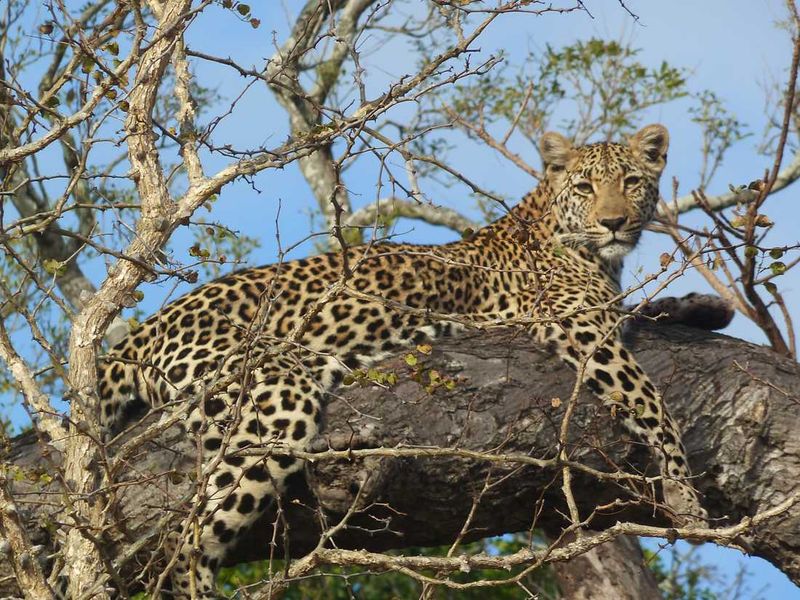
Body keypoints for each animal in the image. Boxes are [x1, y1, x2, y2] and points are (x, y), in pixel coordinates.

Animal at [98, 123, 710, 598]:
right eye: (586, 187)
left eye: (632, 183)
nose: (613, 223)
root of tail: (145, 329)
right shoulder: (576, 325)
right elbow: (653, 403)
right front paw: (688, 501)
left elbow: (656, 314)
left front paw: (704, 306)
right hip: (270, 402)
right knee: (187, 538)